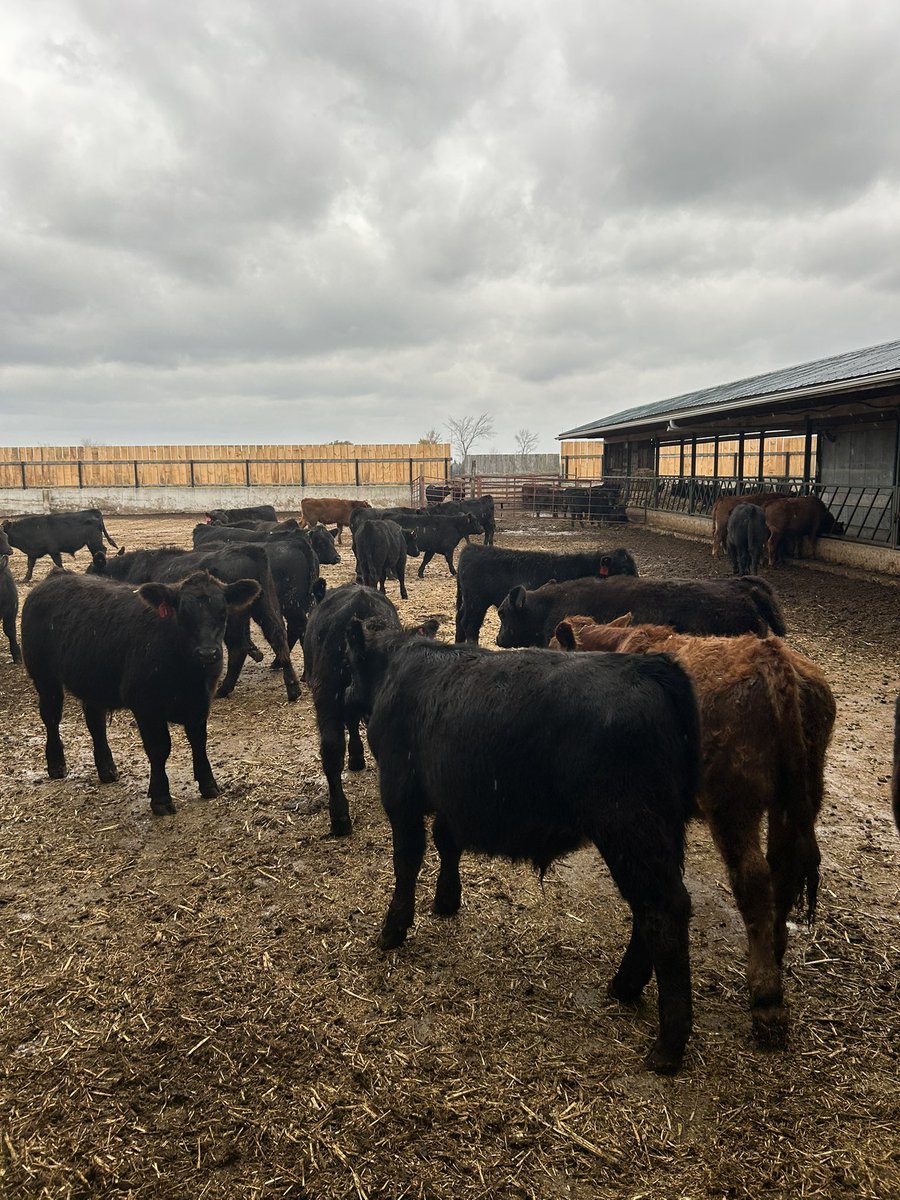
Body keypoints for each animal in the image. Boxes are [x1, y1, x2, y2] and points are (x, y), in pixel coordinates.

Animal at [21, 570, 260, 814]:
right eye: (182, 613)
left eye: (223, 613)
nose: (207, 653)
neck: (187, 674)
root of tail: (56, 576)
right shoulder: (146, 706)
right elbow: (159, 748)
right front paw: (161, 798)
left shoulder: (200, 702)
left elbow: (199, 742)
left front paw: (208, 785)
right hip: (44, 676)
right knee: (51, 717)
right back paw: (56, 765)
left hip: (93, 681)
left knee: (95, 723)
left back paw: (107, 769)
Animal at [87, 544, 300, 702]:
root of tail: (250, 550)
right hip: (266, 606)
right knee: (277, 635)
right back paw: (293, 688)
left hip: (234, 619)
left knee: (238, 648)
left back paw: (223, 689)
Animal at [343, 619, 702, 1074]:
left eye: (350, 664)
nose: (344, 693)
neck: (396, 667)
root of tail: (650, 665)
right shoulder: (452, 798)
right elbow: (447, 842)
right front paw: (447, 901)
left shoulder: (399, 793)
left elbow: (406, 861)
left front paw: (393, 929)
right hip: (662, 832)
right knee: (648, 911)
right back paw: (624, 986)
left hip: (630, 828)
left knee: (663, 911)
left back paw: (668, 1045)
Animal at [455, 543, 639, 644]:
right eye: (623, 570)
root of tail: (472, 548)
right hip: (476, 603)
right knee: (470, 626)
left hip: (469, 602)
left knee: (460, 619)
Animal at [551, 615, 835, 1046]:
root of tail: (770, 656)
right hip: (798, 795)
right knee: (784, 870)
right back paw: (774, 953)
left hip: (732, 805)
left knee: (753, 879)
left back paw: (766, 998)